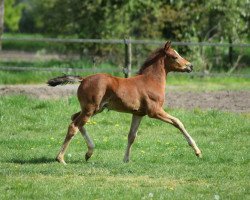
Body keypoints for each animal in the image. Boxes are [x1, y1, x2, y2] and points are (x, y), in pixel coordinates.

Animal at [48, 41, 201, 164]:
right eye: (175, 56)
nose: (190, 66)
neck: (151, 81)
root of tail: (84, 79)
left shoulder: (138, 113)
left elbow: (131, 136)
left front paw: (126, 159)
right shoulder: (154, 111)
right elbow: (177, 122)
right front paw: (198, 152)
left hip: (95, 109)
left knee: (74, 118)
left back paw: (89, 152)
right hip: (90, 109)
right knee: (74, 126)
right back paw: (60, 158)